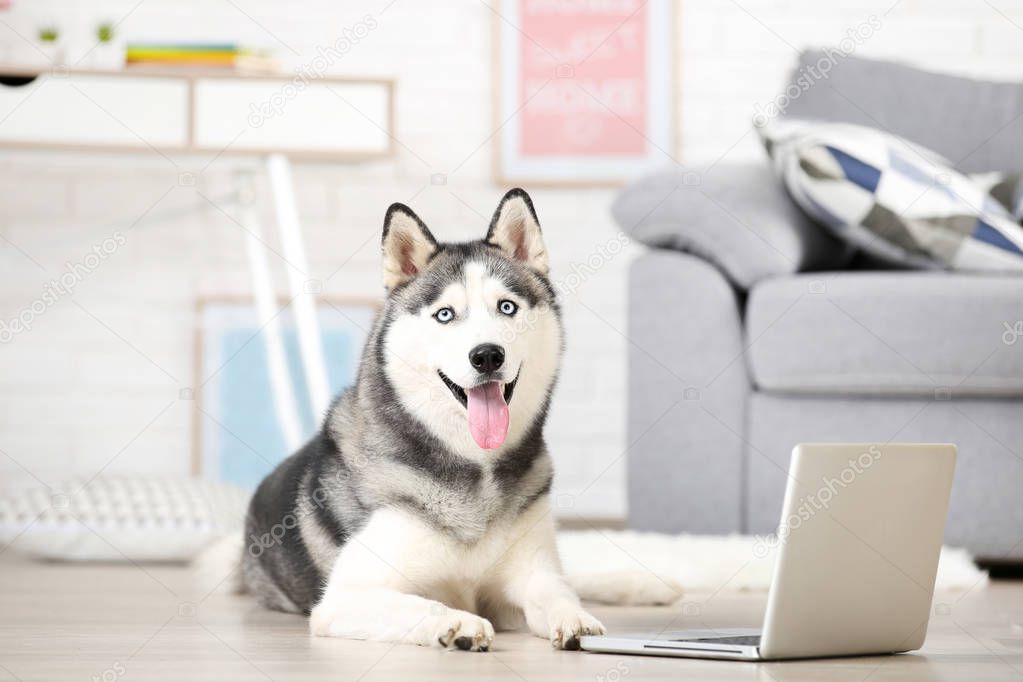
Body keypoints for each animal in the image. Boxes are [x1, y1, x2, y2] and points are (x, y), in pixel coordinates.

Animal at [241, 188, 605, 650]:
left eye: (507, 307)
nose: (487, 355)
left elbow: (555, 591)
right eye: (445, 314)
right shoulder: (346, 597)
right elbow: (423, 604)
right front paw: (459, 623)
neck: (473, 468)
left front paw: (575, 617)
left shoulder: (531, 574)